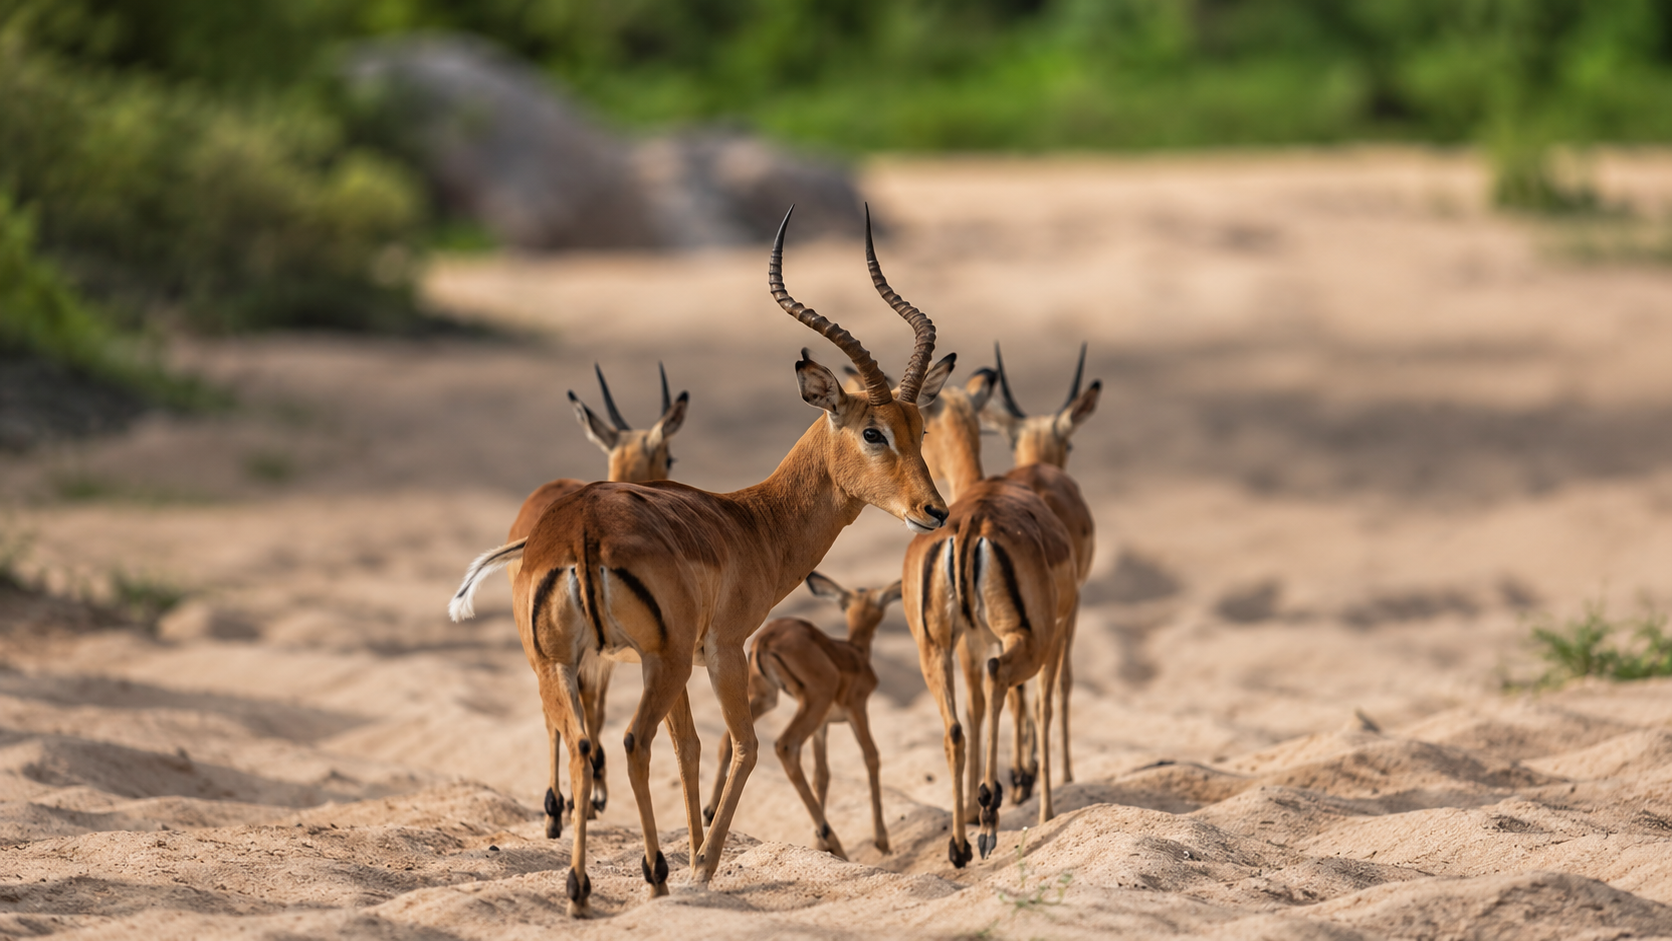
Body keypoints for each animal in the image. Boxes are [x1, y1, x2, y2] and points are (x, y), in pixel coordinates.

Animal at [505, 364, 690, 828]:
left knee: (562, 710)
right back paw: (563, 804)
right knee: (564, 712)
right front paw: (587, 798)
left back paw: (563, 802)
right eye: (670, 456)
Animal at [704, 572, 900, 860]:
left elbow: (822, 774)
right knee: (785, 746)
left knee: (728, 741)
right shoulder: (857, 709)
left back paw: (708, 813)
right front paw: (881, 840)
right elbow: (871, 756)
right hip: (813, 701)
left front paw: (818, 843)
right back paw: (834, 840)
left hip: (765, 698)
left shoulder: (823, 725)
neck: (855, 653)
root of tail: (766, 638)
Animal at [903, 358, 1077, 865]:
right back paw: (988, 814)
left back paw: (959, 843)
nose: (927, 503)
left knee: (955, 728)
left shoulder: (969, 644)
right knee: (1004, 679)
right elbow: (1039, 701)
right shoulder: (1051, 629)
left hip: (933, 649)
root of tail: (970, 525)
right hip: (1030, 639)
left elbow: (977, 710)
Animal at [984, 344, 1100, 796]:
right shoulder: (1074, 607)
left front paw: (1024, 770)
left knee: (1011, 685)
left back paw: (1014, 779)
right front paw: (1063, 771)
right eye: (1070, 443)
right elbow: (1064, 683)